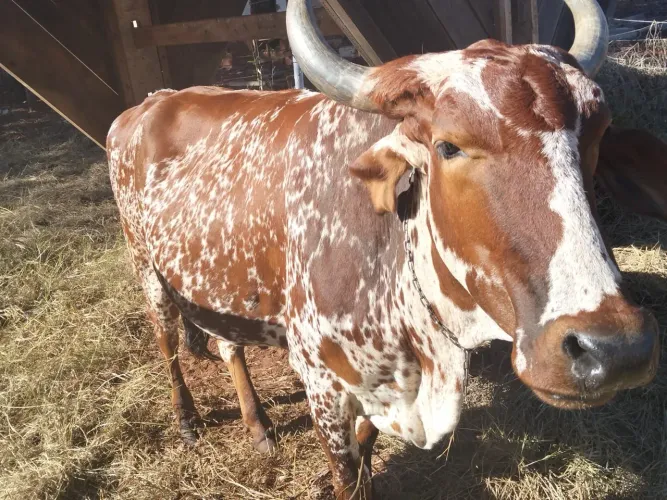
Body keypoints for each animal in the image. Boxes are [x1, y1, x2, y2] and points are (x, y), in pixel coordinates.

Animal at [107, 0, 664, 497]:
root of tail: (147, 102)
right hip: (147, 269)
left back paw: (257, 424)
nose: (613, 348)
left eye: (597, 136)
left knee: (229, 345)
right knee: (168, 344)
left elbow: (368, 445)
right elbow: (348, 476)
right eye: (448, 146)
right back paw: (187, 419)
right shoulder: (321, 383)